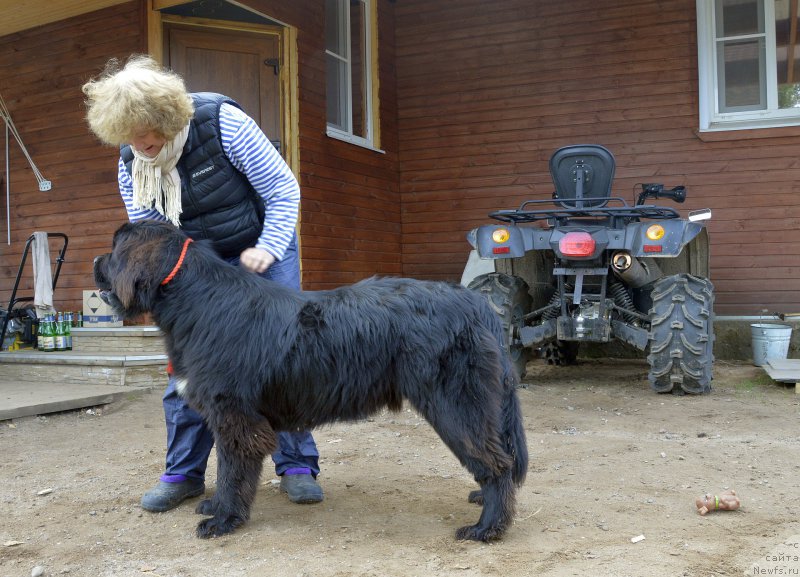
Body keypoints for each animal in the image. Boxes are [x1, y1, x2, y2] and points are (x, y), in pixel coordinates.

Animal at [94, 219, 528, 540]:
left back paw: (488, 528)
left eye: (115, 250)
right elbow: (223, 468)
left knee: (497, 463)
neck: (197, 300)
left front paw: (223, 520)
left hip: (455, 405)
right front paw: (217, 508)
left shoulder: (235, 416)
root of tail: (474, 303)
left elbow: (231, 471)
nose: (96, 260)